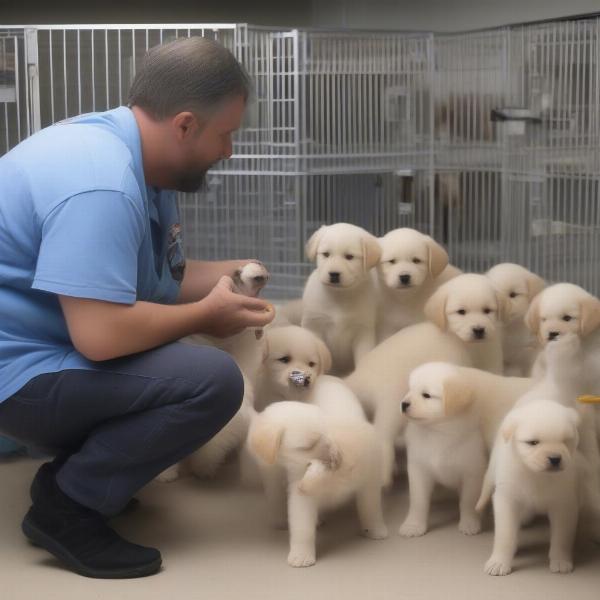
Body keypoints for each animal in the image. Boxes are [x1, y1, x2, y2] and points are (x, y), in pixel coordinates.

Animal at [246, 376, 386, 568]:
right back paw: (281, 519)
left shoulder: (369, 478)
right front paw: (301, 556)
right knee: (275, 494)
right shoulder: (301, 491)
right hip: (271, 471)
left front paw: (375, 530)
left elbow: (370, 508)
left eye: (324, 438)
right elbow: (302, 525)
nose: (333, 454)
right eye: (307, 446)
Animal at [300, 223, 380, 378]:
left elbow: (363, 355)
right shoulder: (314, 324)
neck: (339, 296)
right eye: (326, 254)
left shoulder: (363, 331)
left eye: (349, 257)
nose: (334, 274)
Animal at [346, 274, 506, 486]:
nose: (479, 329)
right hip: (392, 404)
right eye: (461, 312)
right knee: (382, 434)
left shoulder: (492, 360)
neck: (468, 345)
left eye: (488, 310)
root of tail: (359, 376)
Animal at [478, 400, 584, 576]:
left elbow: (562, 537)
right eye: (533, 442)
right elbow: (505, 535)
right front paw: (499, 562)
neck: (535, 475)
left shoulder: (564, 504)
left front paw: (560, 560)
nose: (555, 458)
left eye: (565, 441)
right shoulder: (507, 499)